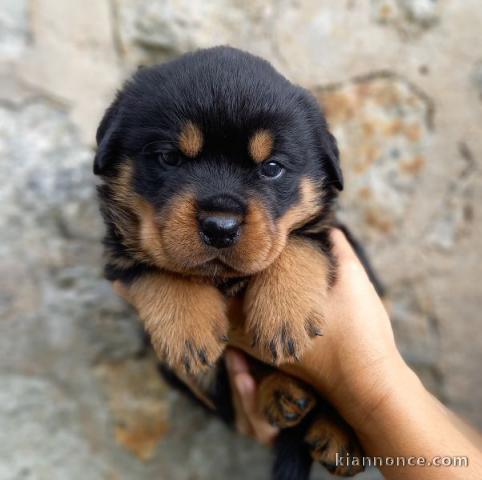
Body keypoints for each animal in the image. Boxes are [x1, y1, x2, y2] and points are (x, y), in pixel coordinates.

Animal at [93, 46, 376, 480]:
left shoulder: (329, 230)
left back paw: (334, 432)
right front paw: (187, 329)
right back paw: (283, 394)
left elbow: (297, 245)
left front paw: (285, 317)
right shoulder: (119, 248)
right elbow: (162, 266)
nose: (220, 226)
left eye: (272, 167)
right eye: (169, 158)